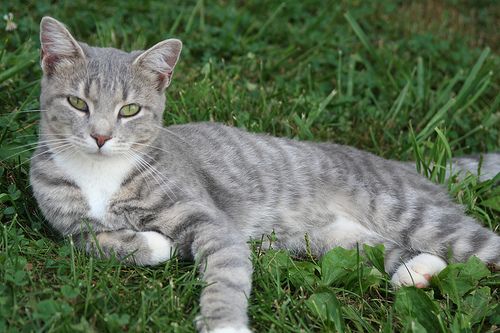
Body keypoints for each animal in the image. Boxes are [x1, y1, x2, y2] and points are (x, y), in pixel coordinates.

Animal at [31, 16, 500, 330]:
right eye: (78, 103)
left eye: (129, 110)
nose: (100, 136)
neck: (100, 174)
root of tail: (399, 163)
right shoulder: (70, 230)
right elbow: (99, 243)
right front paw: (152, 244)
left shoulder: (210, 220)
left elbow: (224, 275)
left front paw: (223, 324)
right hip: (335, 240)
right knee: (389, 250)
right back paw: (417, 270)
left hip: (413, 214)